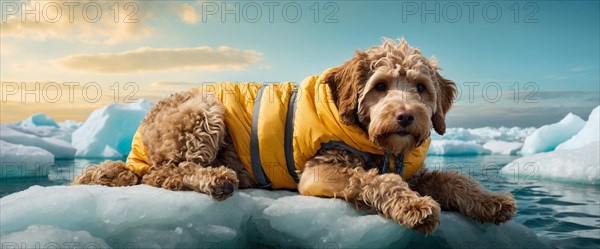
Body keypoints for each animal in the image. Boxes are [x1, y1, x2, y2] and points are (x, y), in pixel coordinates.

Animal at [74, 38, 516, 233]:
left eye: (421, 88)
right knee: (164, 173)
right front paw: (414, 206)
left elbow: (451, 178)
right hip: (202, 111)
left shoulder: (412, 168)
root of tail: (140, 135)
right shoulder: (321, 171)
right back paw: (216, 178)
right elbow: (375, 180)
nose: (406, 116)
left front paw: (490, 201)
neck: (373, 141)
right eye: (380, 86)